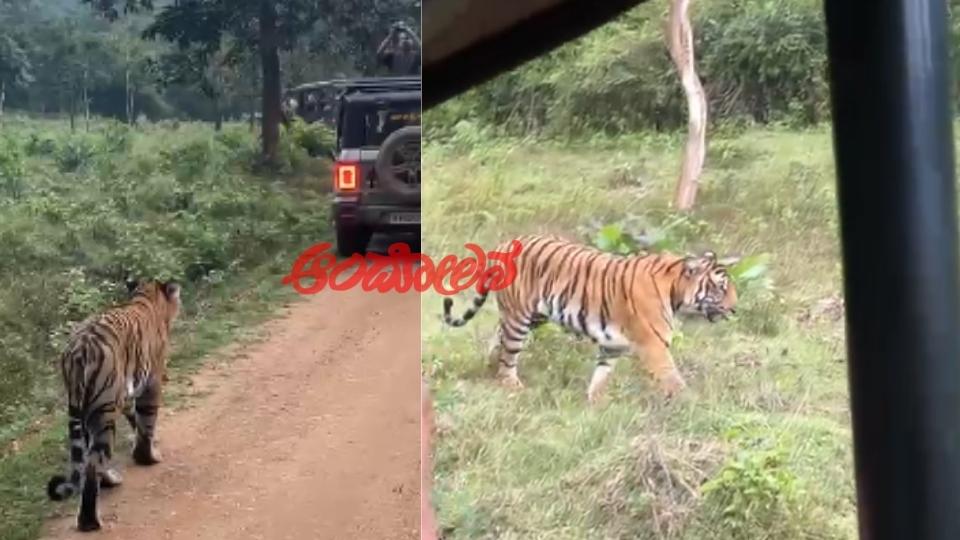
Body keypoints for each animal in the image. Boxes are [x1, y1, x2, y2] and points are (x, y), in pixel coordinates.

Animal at [47, 279, 181, 532]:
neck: (146, 298)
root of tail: (79, 347)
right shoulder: (152, 381)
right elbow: (147, 421)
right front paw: (148, 458)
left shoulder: (128, 392)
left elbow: (136, 420)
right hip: (104, 410)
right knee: (93, 463)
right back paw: (90, 521)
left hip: (84, 410)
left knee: (88, 457)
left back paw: (110, 481)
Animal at [442, 234, 738, 403]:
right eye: (720, 287)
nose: (735, 309)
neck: (675, 291)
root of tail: (504, 244)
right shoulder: (654, 345)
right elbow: (673, 379)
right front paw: (693, 405)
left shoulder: (612, 345)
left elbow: (601, 377)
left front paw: (594, 404)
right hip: (520, 318)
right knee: (509, 354)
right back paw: (510, 384)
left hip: (534, 315)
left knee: (499, 336)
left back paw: (490, 363)